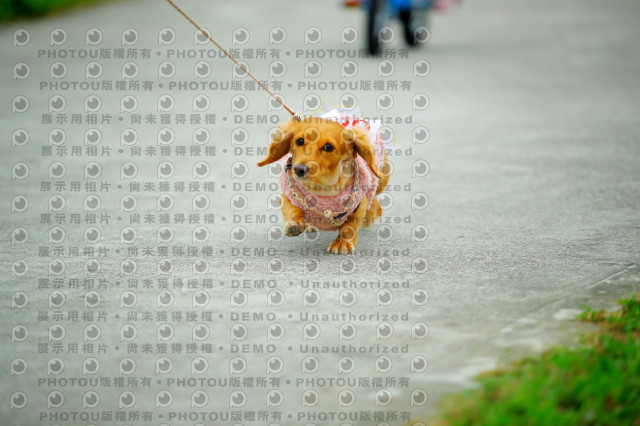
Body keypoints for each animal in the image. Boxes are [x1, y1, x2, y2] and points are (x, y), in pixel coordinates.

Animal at [257, 115, 389, 254]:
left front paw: (342, 243)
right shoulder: (288, 193)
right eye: (299, 141)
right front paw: (294, 223)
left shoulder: (360, 202)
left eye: (328, 147)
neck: (322, 189)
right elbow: (292, 209)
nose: (299, 169)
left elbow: (350, 226)